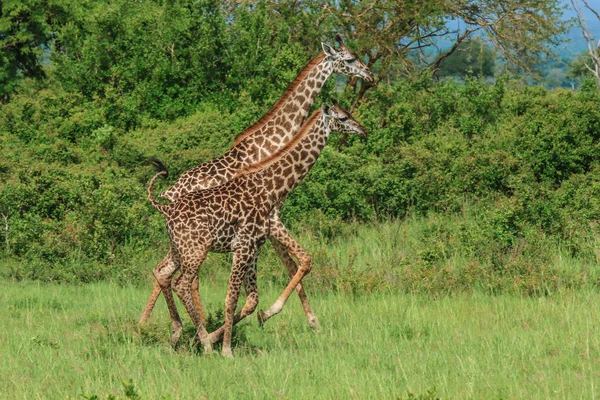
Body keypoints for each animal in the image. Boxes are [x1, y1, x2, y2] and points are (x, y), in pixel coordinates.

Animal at [140, 35, 376, 328]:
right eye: (350, 59)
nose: (371, 76)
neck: (276, 138)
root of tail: (168, 194)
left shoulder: (271, 222)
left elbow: (292, 265)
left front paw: (308, 321)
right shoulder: (272, 220)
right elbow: (301, 261)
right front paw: (279, 315)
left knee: (163, 271)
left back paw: (150, 324)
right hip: (197, 240)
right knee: (183, 277)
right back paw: (190, 323)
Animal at [148, 102, 368, 356]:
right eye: (342, 118)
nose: (363, 130)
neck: (271, 187)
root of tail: (165, 207)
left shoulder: (255, 247)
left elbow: (251, 299)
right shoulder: (244, 246)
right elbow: (231, 298)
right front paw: (226, 350)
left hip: (179, 249)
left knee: (164, 273)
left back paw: (175, 335)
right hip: (196, 250)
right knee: (182, 284)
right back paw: (204, 343)